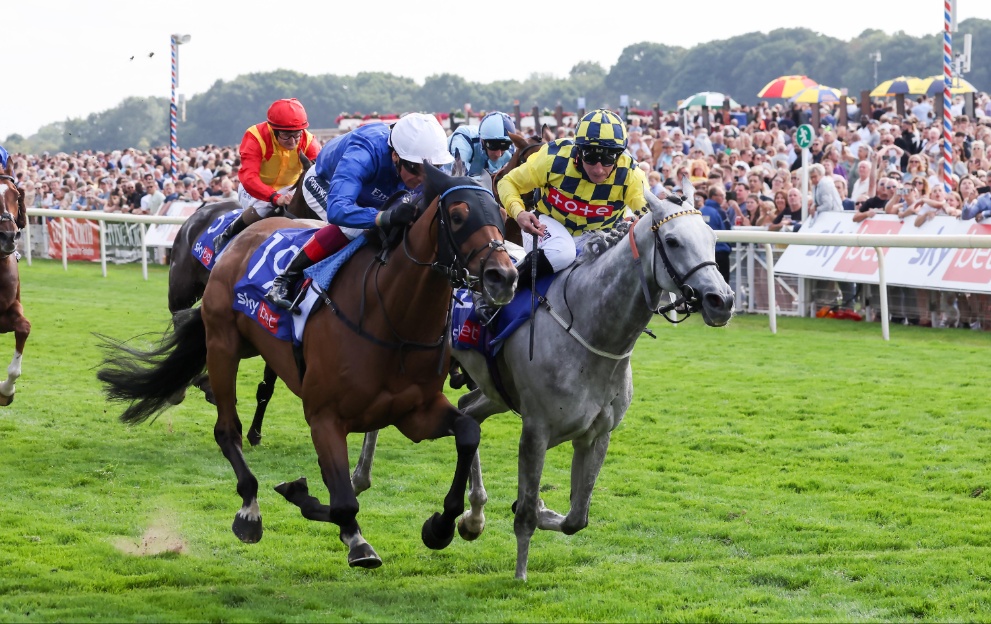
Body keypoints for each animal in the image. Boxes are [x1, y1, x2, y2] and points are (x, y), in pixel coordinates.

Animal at [98, 163, 520, 568]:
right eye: (458, 214)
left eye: (501, 214)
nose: (504, 276)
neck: (391, 318)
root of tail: (240, 237)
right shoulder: (324, 417)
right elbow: (344, 502)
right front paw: (350, 534)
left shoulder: (414, 413)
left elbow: (467, 432)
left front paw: (443, 525)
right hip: (222, 343)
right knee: (226, 429)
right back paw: (249, 508)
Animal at [346, 179, 728, 580]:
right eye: (673, 241)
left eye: (712, 237)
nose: (722, 300)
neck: (590, 329)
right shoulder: (536, 430)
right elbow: (527, 512)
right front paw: (520, 573)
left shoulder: (597, 434)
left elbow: (576, 518)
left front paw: (538, 509)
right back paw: (361, 477)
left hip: (493, 389)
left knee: (468, 411)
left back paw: (474, 515)